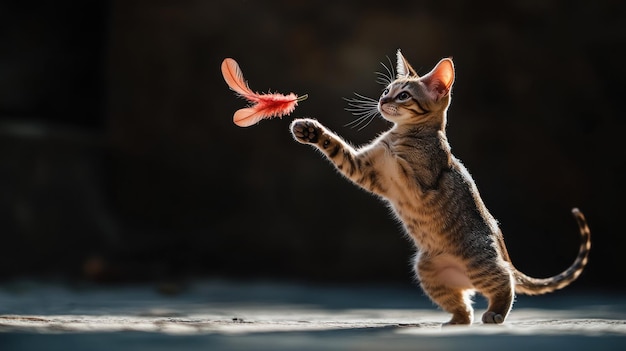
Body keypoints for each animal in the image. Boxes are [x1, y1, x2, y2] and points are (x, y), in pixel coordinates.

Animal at [288, 50, 588, 328]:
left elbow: (404, 164)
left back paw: (496, 313)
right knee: (465, 307)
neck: (404, 134)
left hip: (480, 262)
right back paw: (455, 320)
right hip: (428, 272)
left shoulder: (416, 179)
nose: (382, 101)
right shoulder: (365, 169)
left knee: (506, 282)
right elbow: (338, 147)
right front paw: (310, 131)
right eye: (386, 91)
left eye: (403, 96)